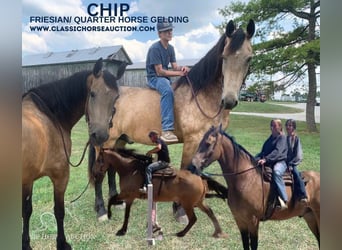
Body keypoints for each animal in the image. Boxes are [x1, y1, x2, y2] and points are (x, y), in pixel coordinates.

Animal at [21, 59, 125, 250]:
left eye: (116, 97)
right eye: (92, 94)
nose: (100, 135)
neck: (50, 117)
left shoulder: (28, 179)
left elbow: (27, 211)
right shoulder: (60, 175)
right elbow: (59, 211)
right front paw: (62, 243)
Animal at [89, 19, 255, 221]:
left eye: (249, 58)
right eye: (224, 57)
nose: (229, 100)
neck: (201, 96)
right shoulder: (192, 141)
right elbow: (186, 170)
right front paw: (180, 210)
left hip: (119, 140)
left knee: (112, 168)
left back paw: (117, 201)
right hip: (105, 140)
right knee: (99, 173)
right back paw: (101, 211)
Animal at [192, 126, 320, 249]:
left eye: (208, 143)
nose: (192, 166)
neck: (246, 179)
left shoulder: (253, 220)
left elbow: (253, 244)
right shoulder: (239, 219)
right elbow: (245, 243)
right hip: (310, 217)